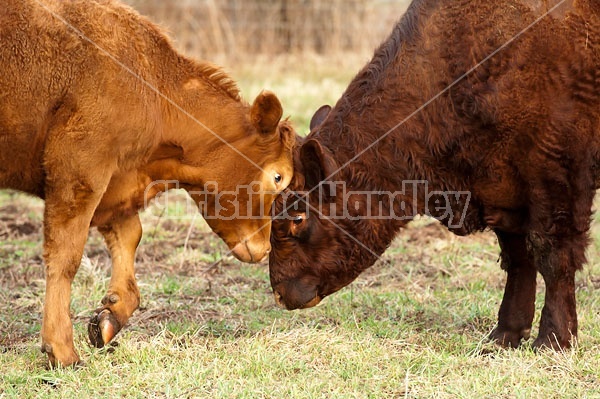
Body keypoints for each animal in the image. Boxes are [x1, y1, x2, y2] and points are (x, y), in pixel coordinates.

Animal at [270, 0, 596, 350]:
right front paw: (504, 334)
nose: (280, 292)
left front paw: (554, 338)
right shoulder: (501, 190)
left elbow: (553, 256)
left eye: (299, 217)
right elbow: (518, 258)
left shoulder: (557, 179)